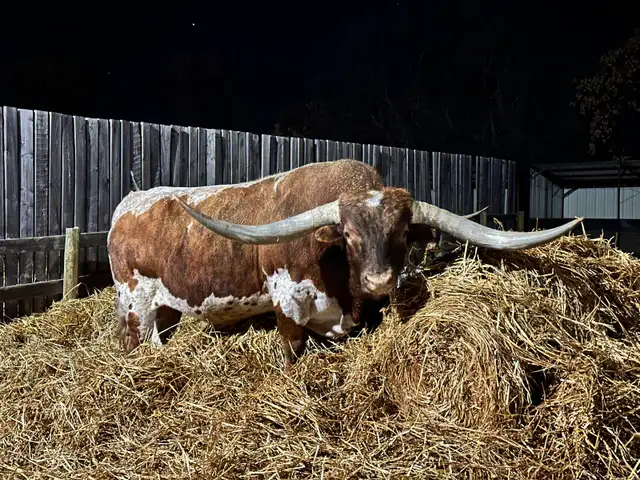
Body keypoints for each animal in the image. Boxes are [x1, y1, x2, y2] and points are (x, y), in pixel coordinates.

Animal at [107, 159, 583, 370]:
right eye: (349, 236)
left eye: (401, 235)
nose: (379, 280)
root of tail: (128, 206)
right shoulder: (288, 305)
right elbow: (291, 352)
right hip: (135, 305)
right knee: (135, 344)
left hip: (164, 309)